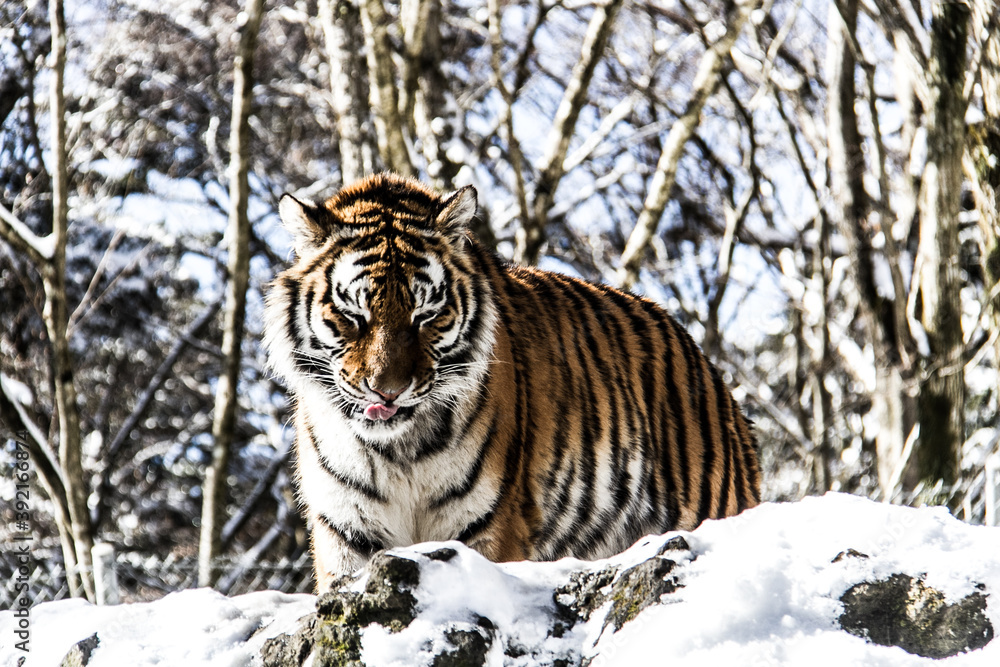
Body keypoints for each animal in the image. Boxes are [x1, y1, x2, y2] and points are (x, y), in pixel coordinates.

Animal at [263, 172, 760, 591]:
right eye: (353, 315)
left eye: (425, 316)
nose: (388, 390)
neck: (398, 452)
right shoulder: (346, 530)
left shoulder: (486, 525)